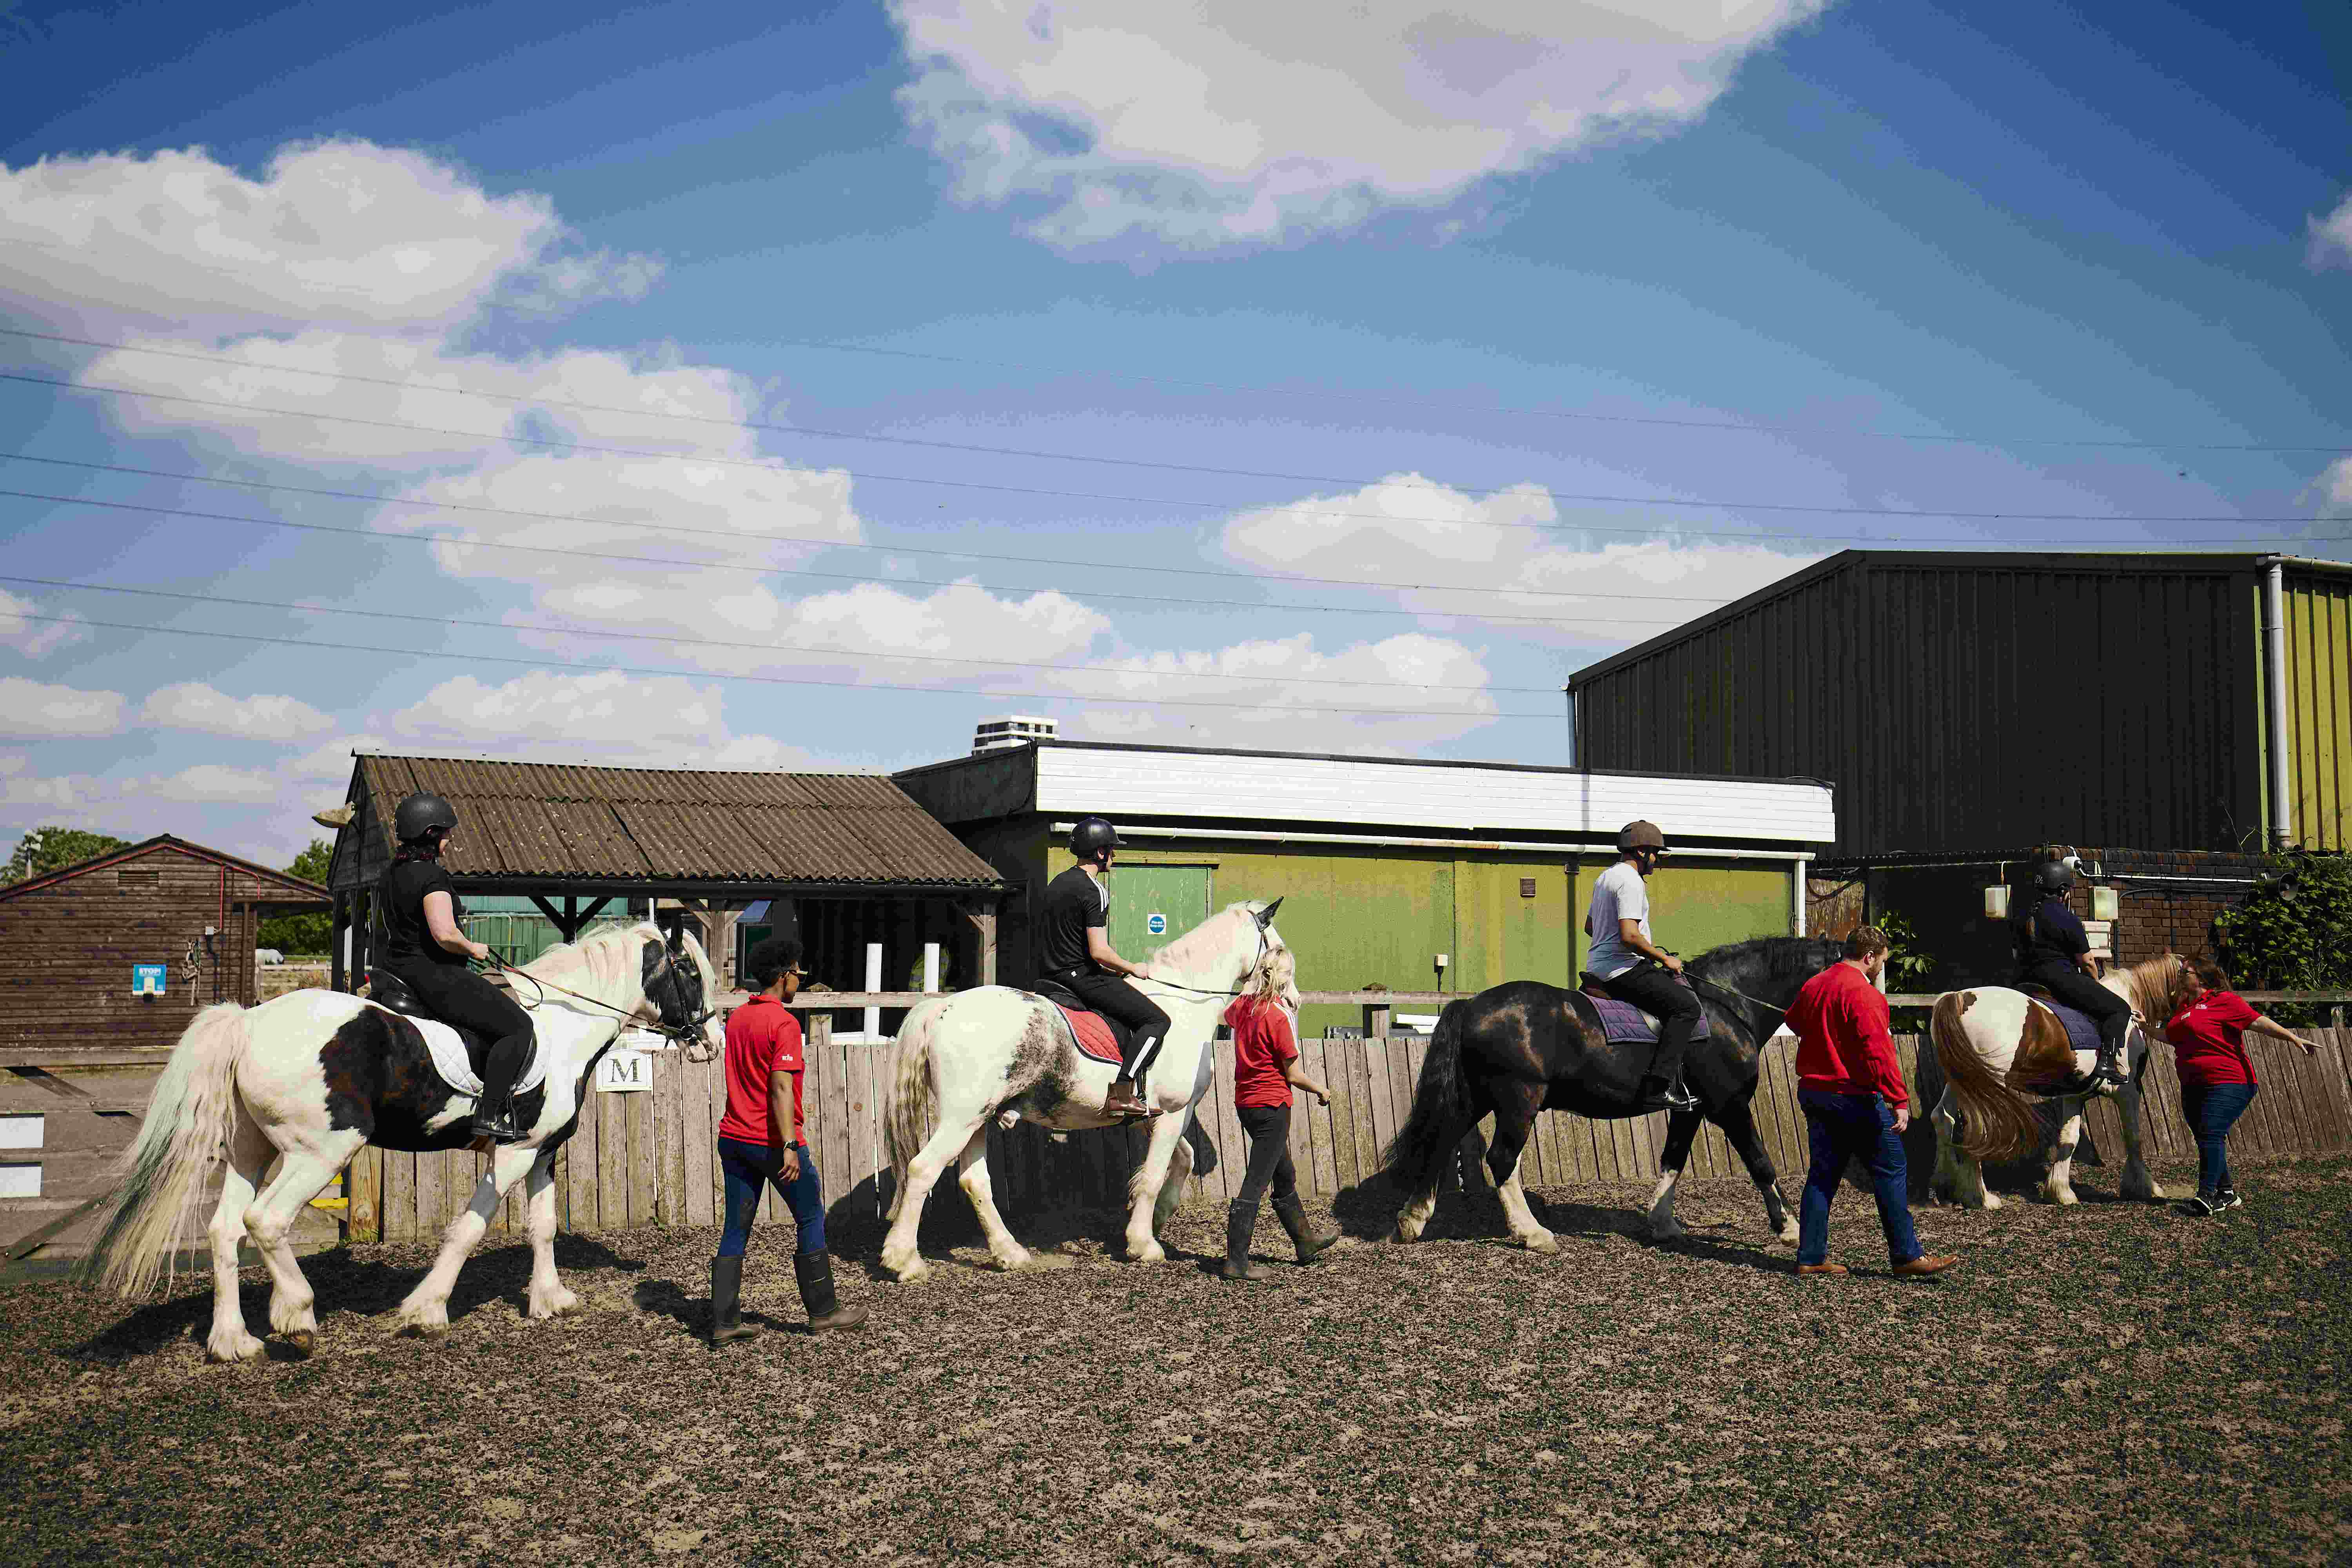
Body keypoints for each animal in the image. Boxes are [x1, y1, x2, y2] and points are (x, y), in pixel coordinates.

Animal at [81, 922, 721, 1361]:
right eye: (691, 973)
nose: (711, 1042)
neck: (562, 1027)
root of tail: (248, 1020)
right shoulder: (512, 1152)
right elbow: (469, 1228)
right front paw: (426, 1309)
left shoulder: (542, 1150)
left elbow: (542, 1226)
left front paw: (549, 1300)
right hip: (322, 1152)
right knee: (266, 1221)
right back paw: (298, 1318)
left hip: (251, 1150)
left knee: (225, 1230)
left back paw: (234, 1340)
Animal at [879, 899, 1289, 1283]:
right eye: (1277, 948)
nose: (1291, 1000)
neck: (1184, 1005)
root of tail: (943, 1007)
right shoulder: (1176, 1112)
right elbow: (1155, 1175)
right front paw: (1144, 1244)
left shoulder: (1152, 1115)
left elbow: (1181, 1161)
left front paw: (1154, 1222)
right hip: (962, 1119)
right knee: (922, 1170)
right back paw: (904, 1261)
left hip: (977, 1119)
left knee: (974, 1181)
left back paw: (1010, 1254)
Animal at [1384, 935, 1847, 1252]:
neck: (1727, 1007)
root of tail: (1472, 1006)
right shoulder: (1729, 1107)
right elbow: (1760, 1162)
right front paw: (1790, 1228)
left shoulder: (1689, 1109)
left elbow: (1673, 1160)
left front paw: (1663, 1223)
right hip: (1519, 1100)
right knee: (1501, 1159)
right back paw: (1532, 1233)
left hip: (1477, 1099)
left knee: (1441, 1141)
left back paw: (1412, 1220)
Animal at [1926, 952, 2184, 1208]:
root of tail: (1961, 997)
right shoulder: (2129, 1090)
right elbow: (2134, 1137)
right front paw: (2145, 1188)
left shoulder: (2075, 1096)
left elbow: (2069, 1138)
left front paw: (2060, 1192)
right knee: (1978, 1131)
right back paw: (1982, 1198)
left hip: (1962, 1081)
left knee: (1943, 1119)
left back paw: (1945, 1186)